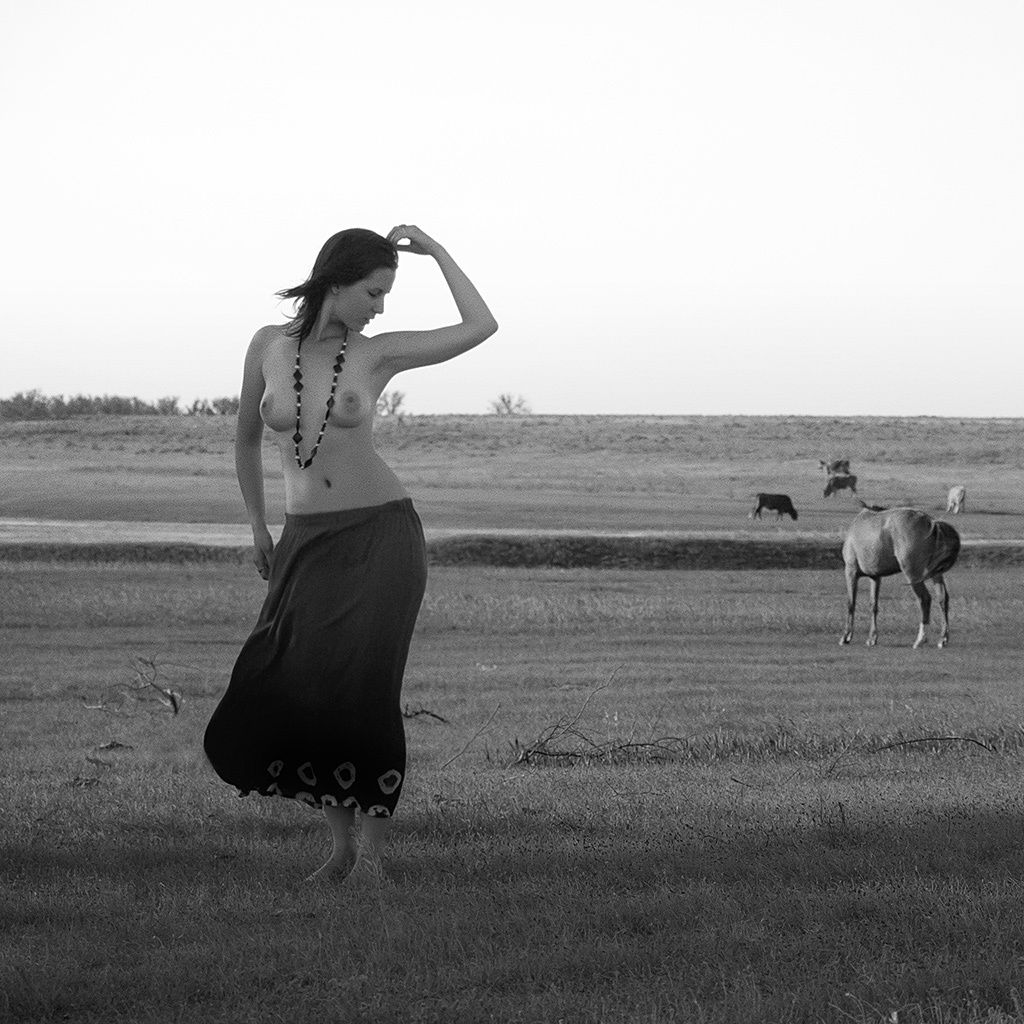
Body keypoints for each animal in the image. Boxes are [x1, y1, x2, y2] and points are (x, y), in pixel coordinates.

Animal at [840, 507, 961, 649]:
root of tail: (932, 523)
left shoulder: (851, 572)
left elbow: (851, 604)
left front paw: (846, 636)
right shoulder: (875, 577)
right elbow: (873, 605)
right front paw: (872, 637)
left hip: (912, 573)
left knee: (924, 599)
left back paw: (920, 639)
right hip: (935, 574)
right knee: (942, 598)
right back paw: (943, 638)